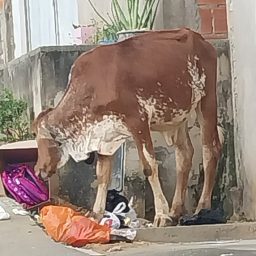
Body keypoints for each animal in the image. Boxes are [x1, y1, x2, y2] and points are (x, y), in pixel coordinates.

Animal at [32, 28, 224, 227]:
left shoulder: (138, 121)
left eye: (41, 139)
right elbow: (102, 175)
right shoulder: (105, 136)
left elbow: (149, 167)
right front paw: (96, 214)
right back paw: (175, 210)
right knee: (184, 154)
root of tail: (200, 39)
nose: (37, 170)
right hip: (177, 117)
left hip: (207, 102)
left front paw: (161, 215)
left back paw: (201, 207)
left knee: (210, 150)